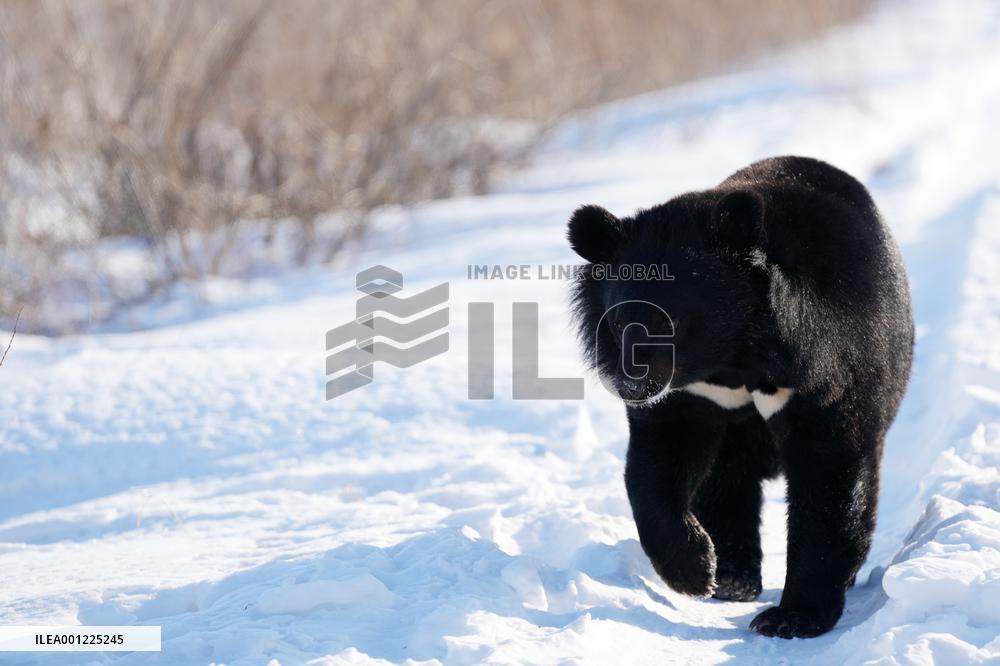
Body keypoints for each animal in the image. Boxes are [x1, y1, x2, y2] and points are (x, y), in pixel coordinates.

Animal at [567, 156, 913, 638]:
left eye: (671, 321)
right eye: (618, 322)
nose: (631, 387)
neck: (735, 357)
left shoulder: (828, 371)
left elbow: (830, 473)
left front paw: (791, 618)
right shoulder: (689, 395)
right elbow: (658, 464)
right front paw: (696, 570)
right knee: (726, 480)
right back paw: (732, 577)